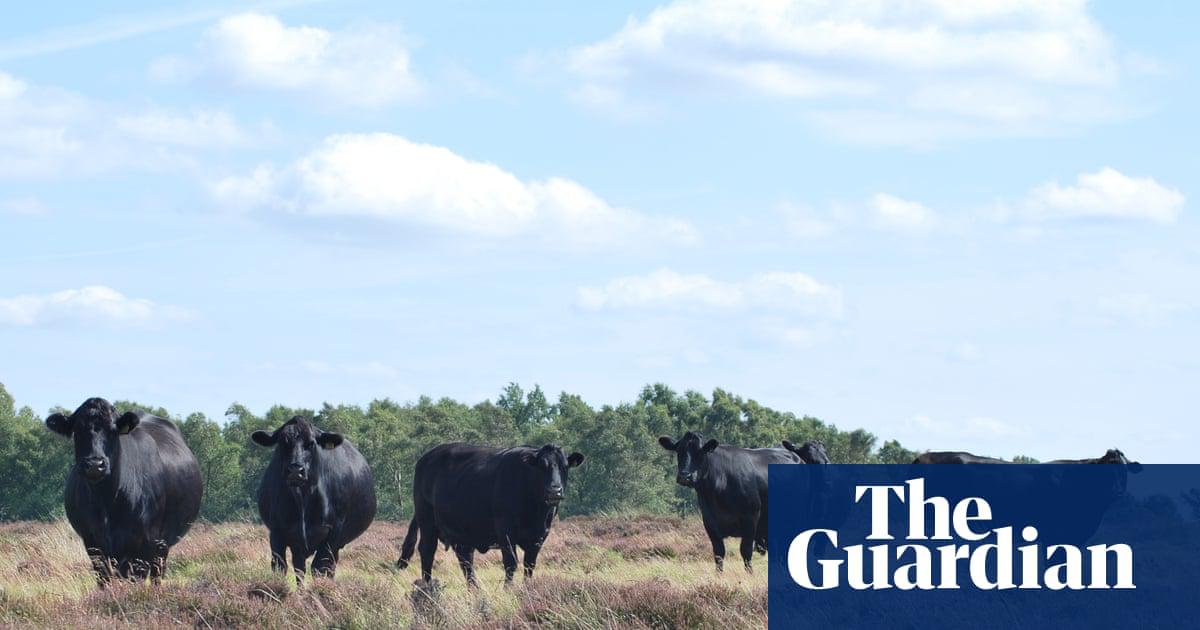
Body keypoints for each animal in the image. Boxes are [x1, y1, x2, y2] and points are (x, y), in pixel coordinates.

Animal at [45, 397, 203, 585]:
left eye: (113, 430)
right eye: (77, 430)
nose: (95, 464)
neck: (107, 499)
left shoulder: (146, 543)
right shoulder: (93, 544)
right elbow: (105, 580)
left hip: (162, 545)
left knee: (157, 574)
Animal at [251, 416, 376, 583]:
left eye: (311, 443)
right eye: (283, 442)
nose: (295, 471)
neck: (304, 497)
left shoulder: (333, 533)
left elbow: (319, 568)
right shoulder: (277, 532)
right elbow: (281, 567)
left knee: (329, 567)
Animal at [395, 443, 584, 586]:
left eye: (565, 467)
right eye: (541, 466)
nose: (554, 491)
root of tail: (427, 457)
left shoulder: (539, 535)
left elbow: (529, 565)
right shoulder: (506, 532)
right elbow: (511, 564)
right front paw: (508, 589)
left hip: (462, 532)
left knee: (465, 560)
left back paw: (474, 589)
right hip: (427, 521)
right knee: (427, 551)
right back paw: (427, 586)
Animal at [659, 431, 799, 573]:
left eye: (700, 452)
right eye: (679, 451)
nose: (685, 476)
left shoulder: (751, 518)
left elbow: (746, 551)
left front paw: (750, 573)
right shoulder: (709, 522)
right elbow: (719, 553)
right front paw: (718, 575)